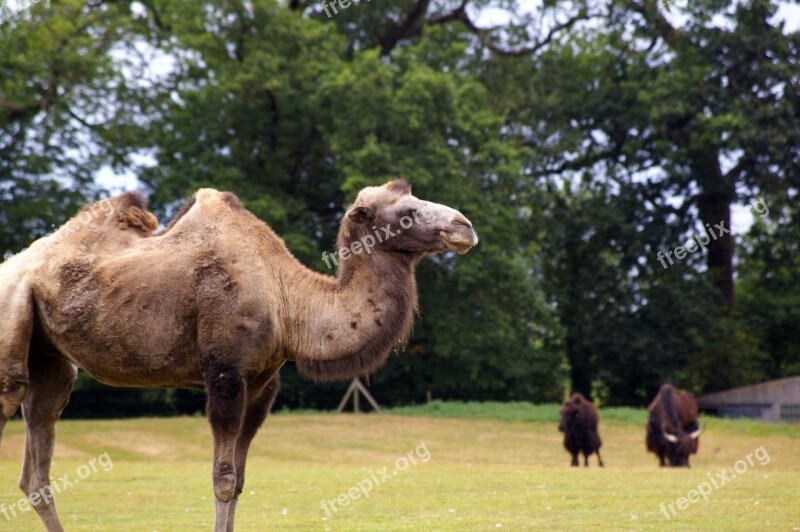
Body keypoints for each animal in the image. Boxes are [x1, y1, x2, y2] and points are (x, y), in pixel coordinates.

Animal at [0, 181, 476, 528]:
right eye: (407, 213)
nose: (464, 225)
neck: (287, 300)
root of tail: (16, 263)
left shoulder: (263, 383)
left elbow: (241, 480)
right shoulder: (226, 374)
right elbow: (224, 481)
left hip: (49, 356)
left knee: (37, 462)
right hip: (11, 320)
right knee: (14, 401)